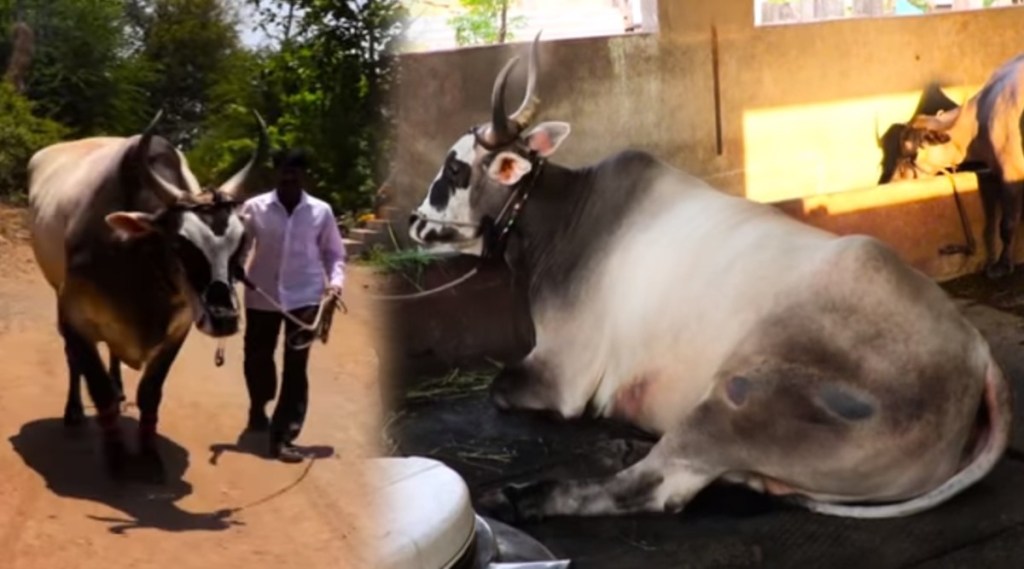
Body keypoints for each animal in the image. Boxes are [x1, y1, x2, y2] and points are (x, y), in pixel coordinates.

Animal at [27, 110, 267, 481]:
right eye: (180, 243)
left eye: (241, 242)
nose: (224, 319)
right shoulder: (74, 315)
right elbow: (98, 388)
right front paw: (117, 457)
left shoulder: (179, 327)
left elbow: (150, 393)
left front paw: (150, 455)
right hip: (57, 291)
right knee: (72, 359)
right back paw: (74, 411)